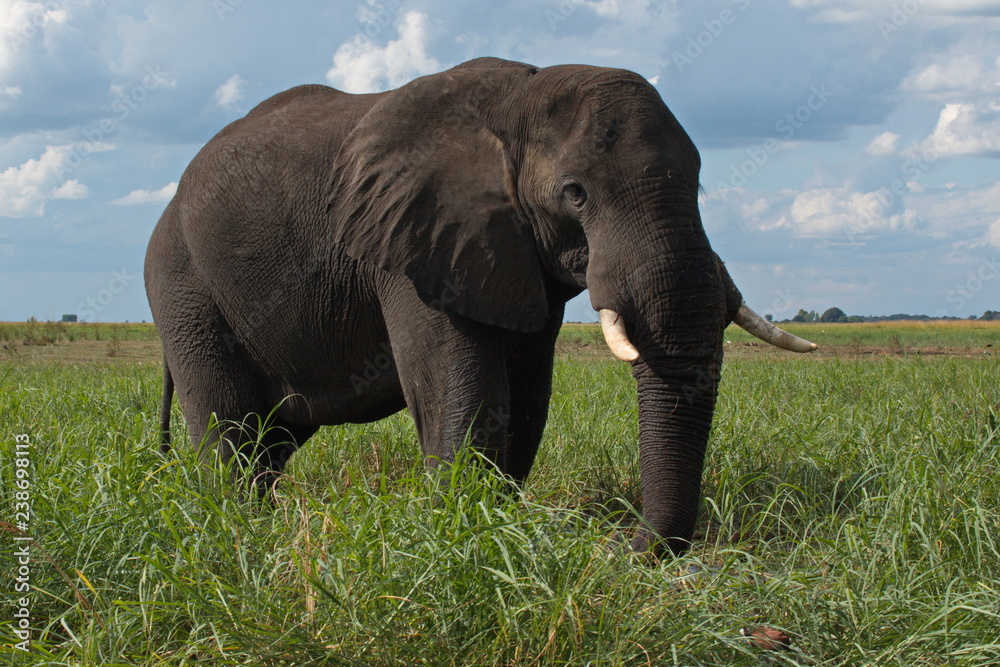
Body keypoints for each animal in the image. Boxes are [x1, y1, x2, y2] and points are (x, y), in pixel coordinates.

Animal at [144, 57, 816, 557]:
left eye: (698, 183)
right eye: (575, 194)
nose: (621, 544)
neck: (520, 97)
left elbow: (526, 396)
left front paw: (495, 531)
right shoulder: (411, 244)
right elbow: (465, 394)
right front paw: (463, 535)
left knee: (274, 436)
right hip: (183, 286)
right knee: (232, 431)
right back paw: (238, 530)